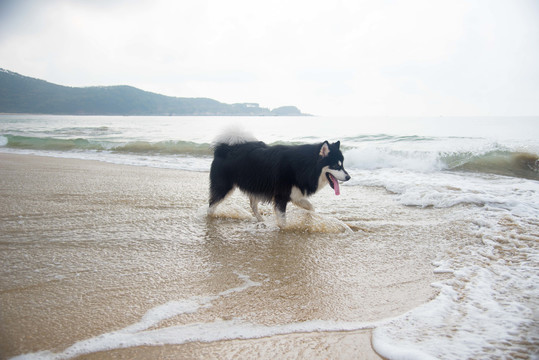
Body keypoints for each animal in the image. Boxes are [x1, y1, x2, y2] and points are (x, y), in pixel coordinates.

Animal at [209, 130, 352, 228]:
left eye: (343, 165)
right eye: (336, 166)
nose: (348, 177)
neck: (305, 166)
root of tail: (224, 148)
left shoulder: (295, 194)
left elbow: (311, 207)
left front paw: (310, 218)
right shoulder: (281, 197)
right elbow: (283, 221)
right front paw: (284, 230)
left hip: (255, 186)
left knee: (253, 206)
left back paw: (261, 221)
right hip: (224, 187)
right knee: (211, 205)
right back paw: (210, 218)